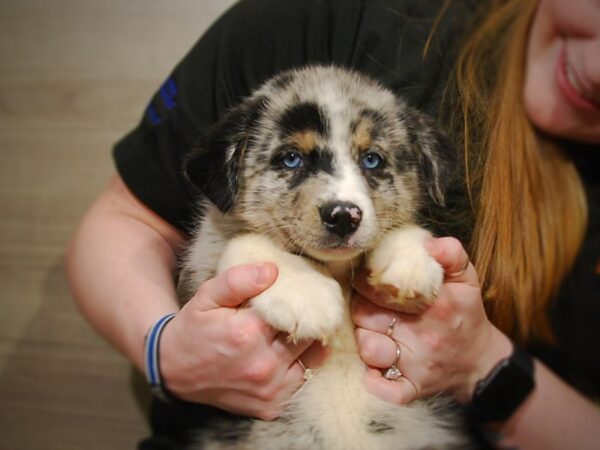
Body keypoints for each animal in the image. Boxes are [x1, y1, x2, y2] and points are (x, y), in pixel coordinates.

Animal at [180, 65, 472, 448]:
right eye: (291, 158)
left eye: (371, 159)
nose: (344, 215)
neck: (337, 271)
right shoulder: (200, 266)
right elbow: (241, 240)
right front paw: (306, 295)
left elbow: (404, 228)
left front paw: (410, 261)